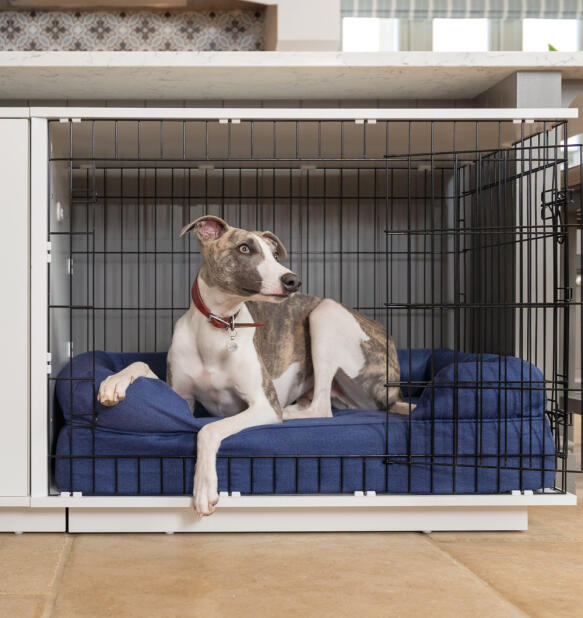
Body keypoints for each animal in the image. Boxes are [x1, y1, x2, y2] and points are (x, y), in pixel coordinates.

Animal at [98, 217, 410, 516]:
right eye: (244, 249)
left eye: (274, 254)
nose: (293, 281)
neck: (220, 326)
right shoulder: (181, 398)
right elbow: (142, 366)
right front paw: (113, 382)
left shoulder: (262, 404)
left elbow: (207, 429)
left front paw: (204, 487)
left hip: (326, 312)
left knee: (322, 409)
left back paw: (290, 413)